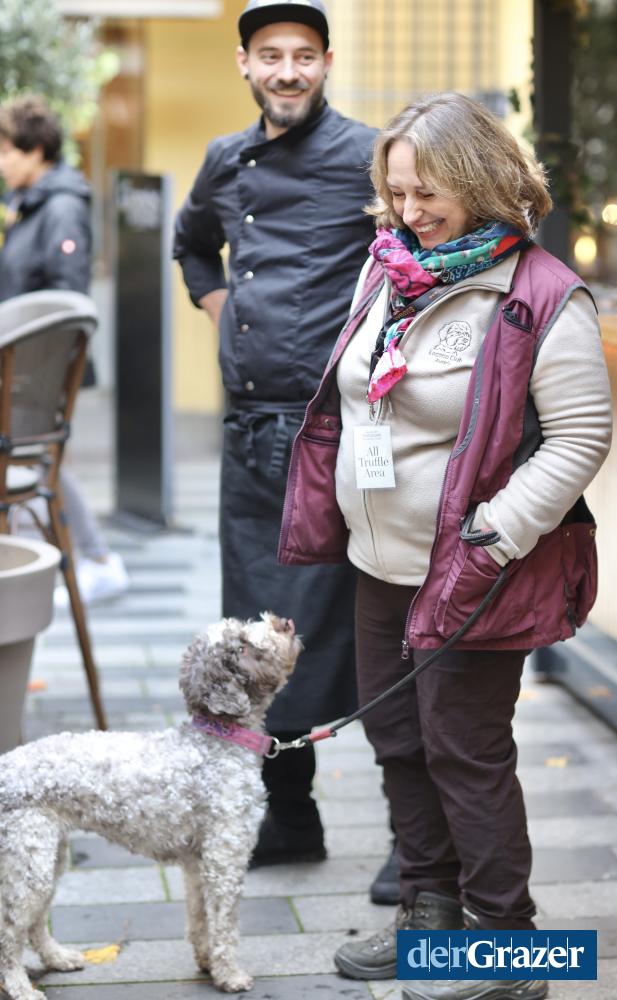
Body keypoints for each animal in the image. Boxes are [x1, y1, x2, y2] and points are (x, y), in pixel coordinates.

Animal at [0, 612, 302, 998]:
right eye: (243, 645)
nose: (283, 623)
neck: (218, 743)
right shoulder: (226, 857)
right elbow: (224, 922)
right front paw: (230, 975)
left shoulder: (198, 863)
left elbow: (200, 916)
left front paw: (207, 963)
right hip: (29, 862)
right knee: (10, 931)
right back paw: (20, 987)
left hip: (49, 858)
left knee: (34, 922)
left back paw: (58, 958)